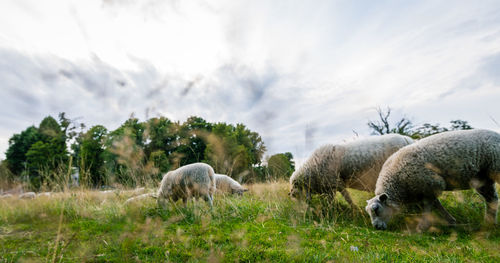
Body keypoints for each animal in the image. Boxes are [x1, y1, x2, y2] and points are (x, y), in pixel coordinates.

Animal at [366, 129, 500, 231]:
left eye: (376, 209)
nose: (377, 227)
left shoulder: (432, 185)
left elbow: (429, 208)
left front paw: (422, 227)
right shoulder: (424, 191)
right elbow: (437, 206)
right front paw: (451, 222)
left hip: (495, 168)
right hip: (483, 179)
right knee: (492, 200)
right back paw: (489, 224)